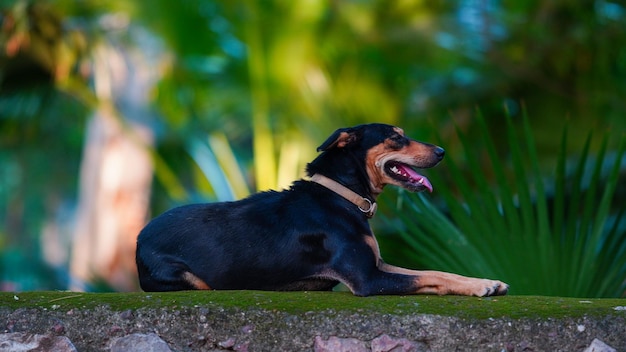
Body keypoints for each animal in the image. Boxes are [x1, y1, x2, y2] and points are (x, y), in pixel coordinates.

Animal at [136, 124, 508, 296]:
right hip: (189, 279)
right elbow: (430, 278)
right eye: (396, 138)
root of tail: (139, 240)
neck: (341, 195)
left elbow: (436, 272)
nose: (442, 151)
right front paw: (479, 288)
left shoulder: (377, 264)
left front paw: (485, 281)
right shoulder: (368, 279)